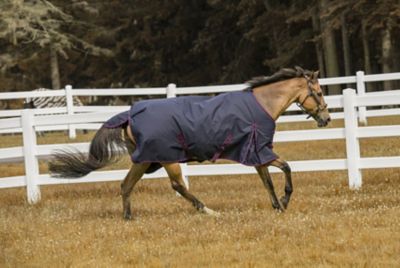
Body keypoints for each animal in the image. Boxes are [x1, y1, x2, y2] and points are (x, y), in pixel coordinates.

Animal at [48, 66, 332, 219]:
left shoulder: (256, 155)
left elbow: (268, 181)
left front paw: (277, 206)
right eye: (318, 93)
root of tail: (129, 114)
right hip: (167, 159)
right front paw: (284, 202)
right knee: (177, 185)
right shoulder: (260, 152)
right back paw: (207, 210)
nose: (326, 118)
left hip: (146, 160)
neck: (261, 105)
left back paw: (128, 217)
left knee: (126, 184)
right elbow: (285, 170)